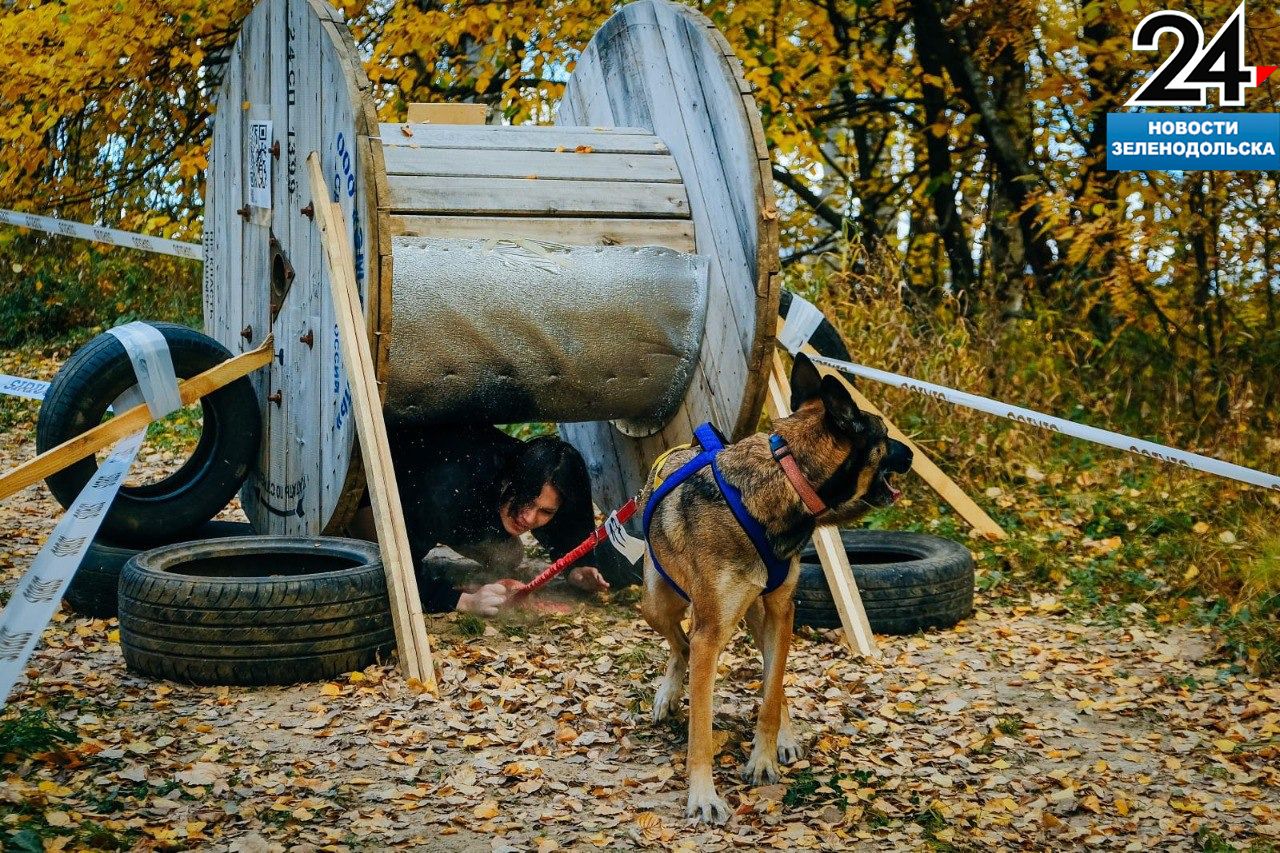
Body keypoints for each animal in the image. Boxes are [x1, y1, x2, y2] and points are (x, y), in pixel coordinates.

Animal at [640, 350, 911, 819]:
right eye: (886, 436)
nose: (910, 453)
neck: (784, 478)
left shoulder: (783, 612)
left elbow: (770, 695)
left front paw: (764, 758)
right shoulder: (710, 633)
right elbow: (701, 728)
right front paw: (703, 795)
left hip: (759, 618)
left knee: (762, 673)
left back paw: (782, 736)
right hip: (658, 604)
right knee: (680, 644)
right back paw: (669, 693)